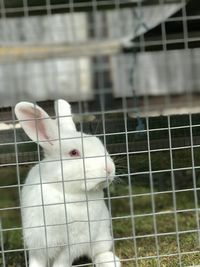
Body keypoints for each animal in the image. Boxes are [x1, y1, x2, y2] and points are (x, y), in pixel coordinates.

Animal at [14, 100, 120, 267]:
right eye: (74, 153)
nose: (109, 168)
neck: (66, 193)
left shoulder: (75, 243)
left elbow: (62, 261)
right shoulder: (38, 240)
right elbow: (36, 261)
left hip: (101, 236)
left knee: (99, 252)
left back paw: (110, 261)